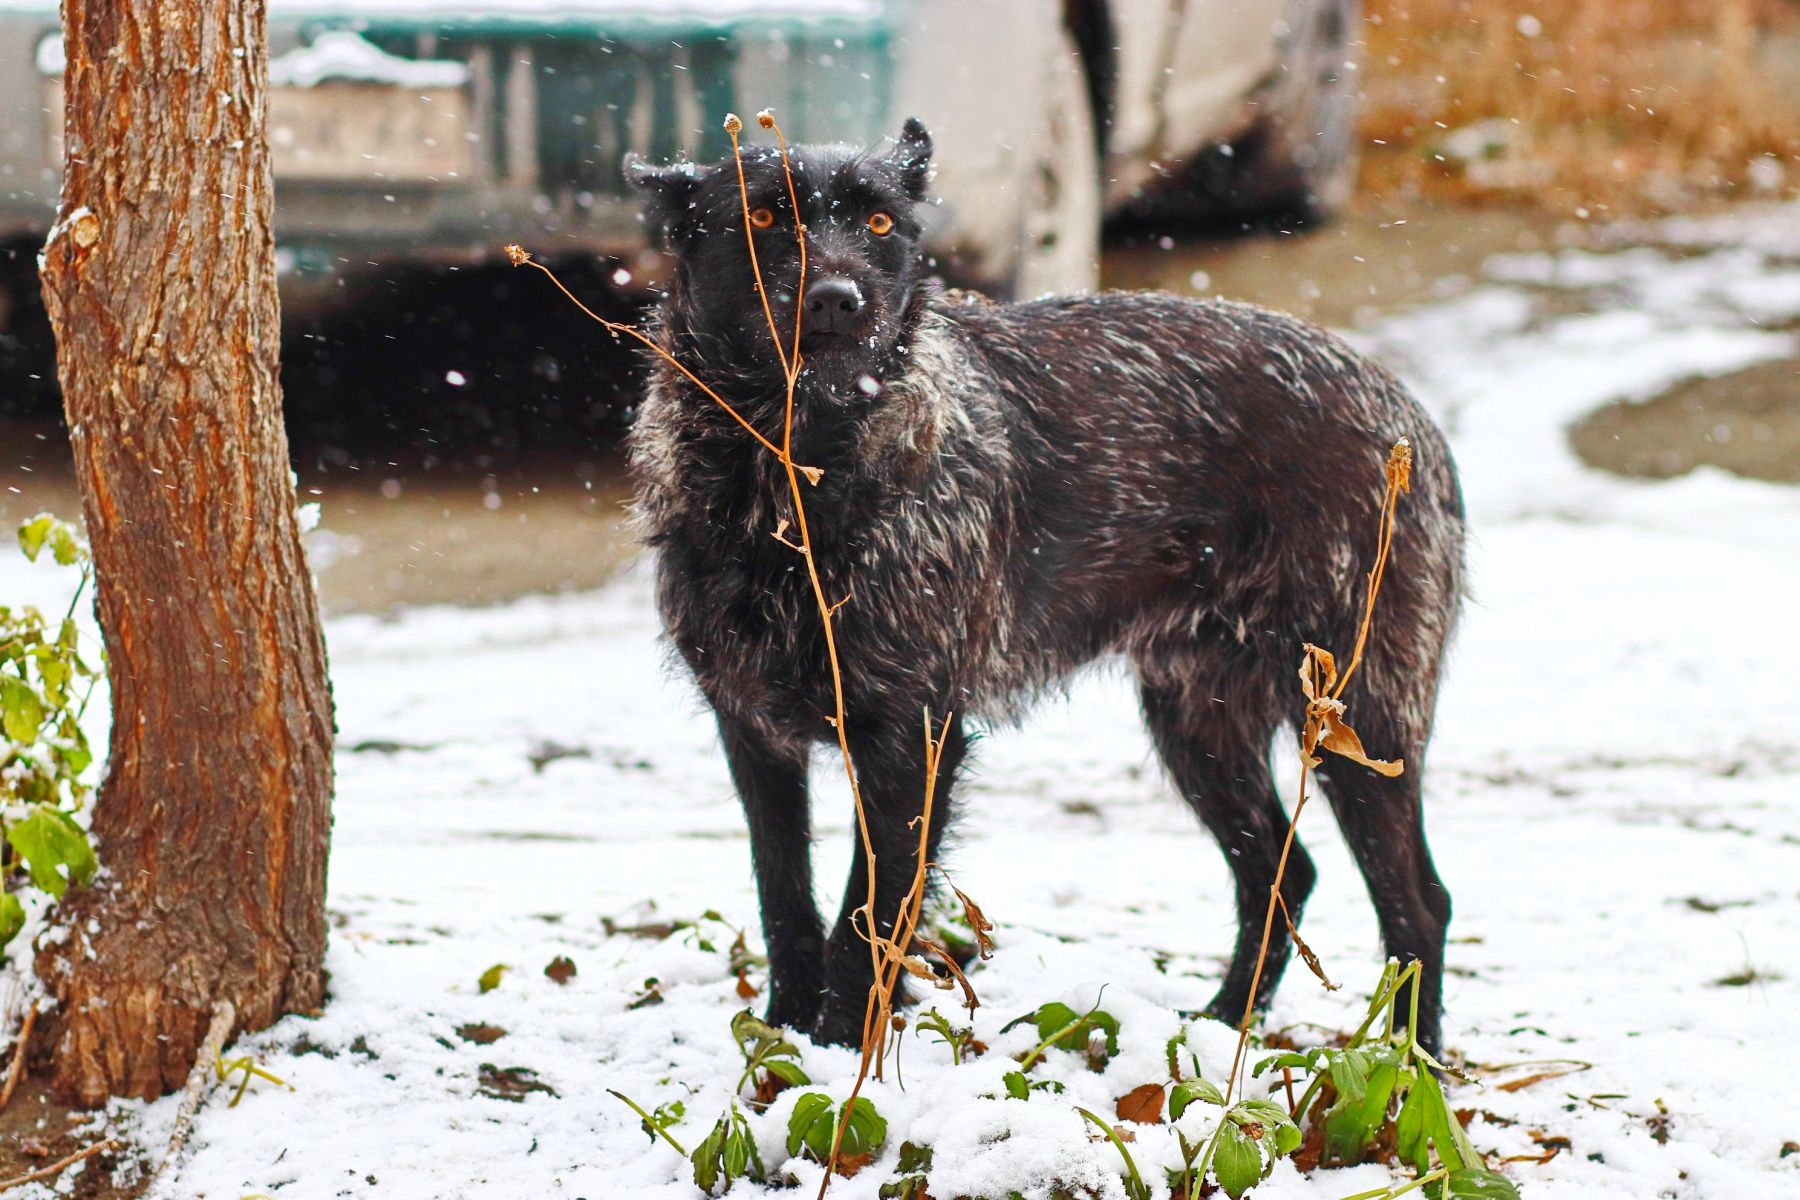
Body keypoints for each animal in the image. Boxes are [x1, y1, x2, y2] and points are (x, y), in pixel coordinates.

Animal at [630, 119, 1461, 1050]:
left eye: (880, 224)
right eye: (765, 215)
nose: (839, 300)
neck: (797, 473)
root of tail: (1407, 417)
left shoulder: (910, 740)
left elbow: (869, 922)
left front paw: (842, 1051)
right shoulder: (755, 735)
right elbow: (787, 903)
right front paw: (782, 1044)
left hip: (1362, 723)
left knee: (1417, 903)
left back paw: (1412, 1067)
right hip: (1198, 726)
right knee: (1283, 874)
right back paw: (1221, 1027)